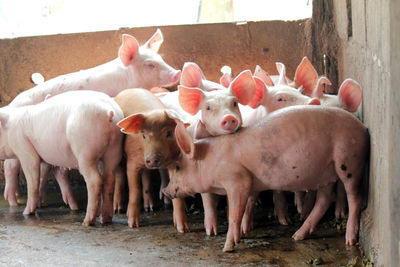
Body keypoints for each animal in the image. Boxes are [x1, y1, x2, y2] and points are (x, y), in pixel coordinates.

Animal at [0, 90, 123, 226]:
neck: (10, 129)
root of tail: (109, 112)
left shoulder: (24, 149)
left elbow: (32, 179)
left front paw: (26, 213)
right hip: (114, 148)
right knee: (109, 178)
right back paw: (104, 219)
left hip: (85, 150)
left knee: (95, 180)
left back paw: (87, 221)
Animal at [2, 28, 181, 209]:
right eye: (150, 64)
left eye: (161, 59)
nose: (177, 73)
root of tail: (13, 103)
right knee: (10, 166)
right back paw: (14, 202)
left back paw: (43, 201)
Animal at [112, 88, 188, 232]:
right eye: (143, 135)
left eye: (168, 133)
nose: (152, 159)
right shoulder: (132, 162)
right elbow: (135, 190)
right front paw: (133, 224)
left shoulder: (173, 161)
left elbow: (176, 194)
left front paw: (183, 229)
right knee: (119, 176)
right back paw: (117, 209)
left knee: (146, 176)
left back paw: (150, 208)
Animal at [162, 105, 368, 252]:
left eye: (178, 167)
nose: (165, 190)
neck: (213, 161)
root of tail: (363, 128)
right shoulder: (252, 183)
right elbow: (246, 206)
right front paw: (242, 235)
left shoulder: (238, 179)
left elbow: (234, 215)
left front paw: (227, 248)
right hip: (326, 171)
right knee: (324, 199)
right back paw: (297, 236)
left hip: (349, 161)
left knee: (355, 197)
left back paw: (349, 240)